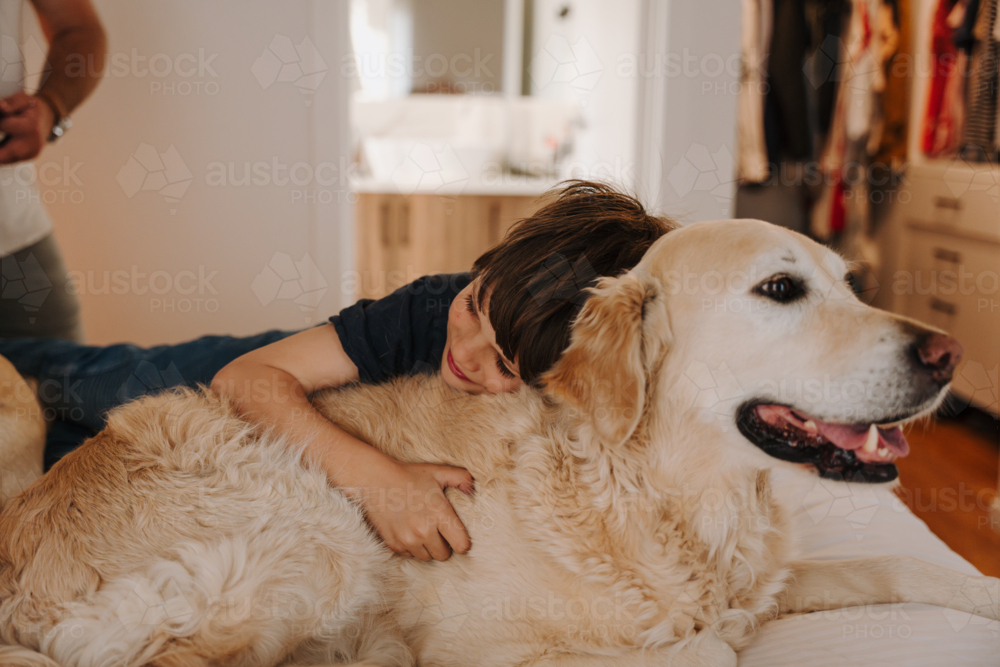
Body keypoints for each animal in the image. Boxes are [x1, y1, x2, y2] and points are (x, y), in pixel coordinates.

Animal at [1, 220, 1000, 667]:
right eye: (781, 289)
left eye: (850, 282)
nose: (949, 353)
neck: (661, 494)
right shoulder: (490, 651)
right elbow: (703, 649)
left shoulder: (767, 581)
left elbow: (898, 567)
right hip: (317, 527)